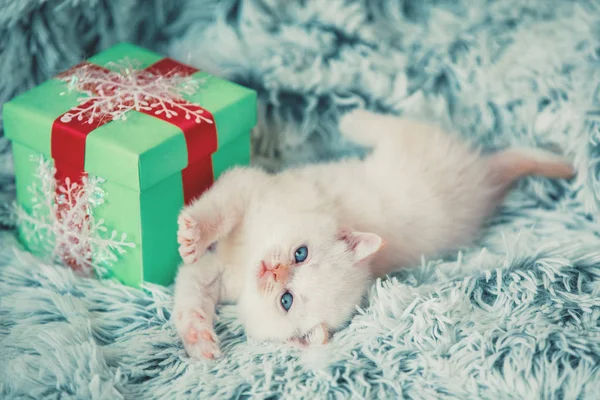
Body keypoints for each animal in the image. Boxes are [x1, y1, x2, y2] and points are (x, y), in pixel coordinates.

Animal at [171, 108, 576, 360]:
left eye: (286, 299)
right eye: (301, 253)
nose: (272, 270)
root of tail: (485, 178)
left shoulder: (221, 272)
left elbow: (189, 292)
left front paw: (199, 342)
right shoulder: (252, 189)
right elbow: (221, 209)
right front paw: (193, 234)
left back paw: (351, 120)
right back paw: (352, 120)